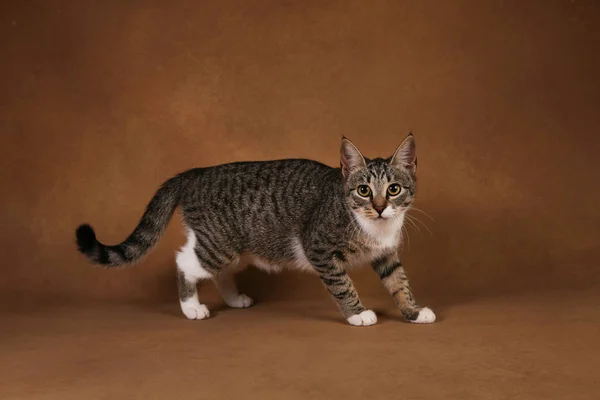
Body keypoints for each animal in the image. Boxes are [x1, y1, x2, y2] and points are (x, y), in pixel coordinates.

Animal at [77, 134, 438, 324]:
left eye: (393, 189)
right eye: (363, 190)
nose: (379, 207)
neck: (375, 228)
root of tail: (195, 173)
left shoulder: (386, 254)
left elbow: (398, 281)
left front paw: (413, 311)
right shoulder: (319, 248)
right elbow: (343, 285)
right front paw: (358, 314)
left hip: (234, 247)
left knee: (216, 270)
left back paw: (234, 298)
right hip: (218, 243)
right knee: (185, 262)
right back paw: (191, 306)